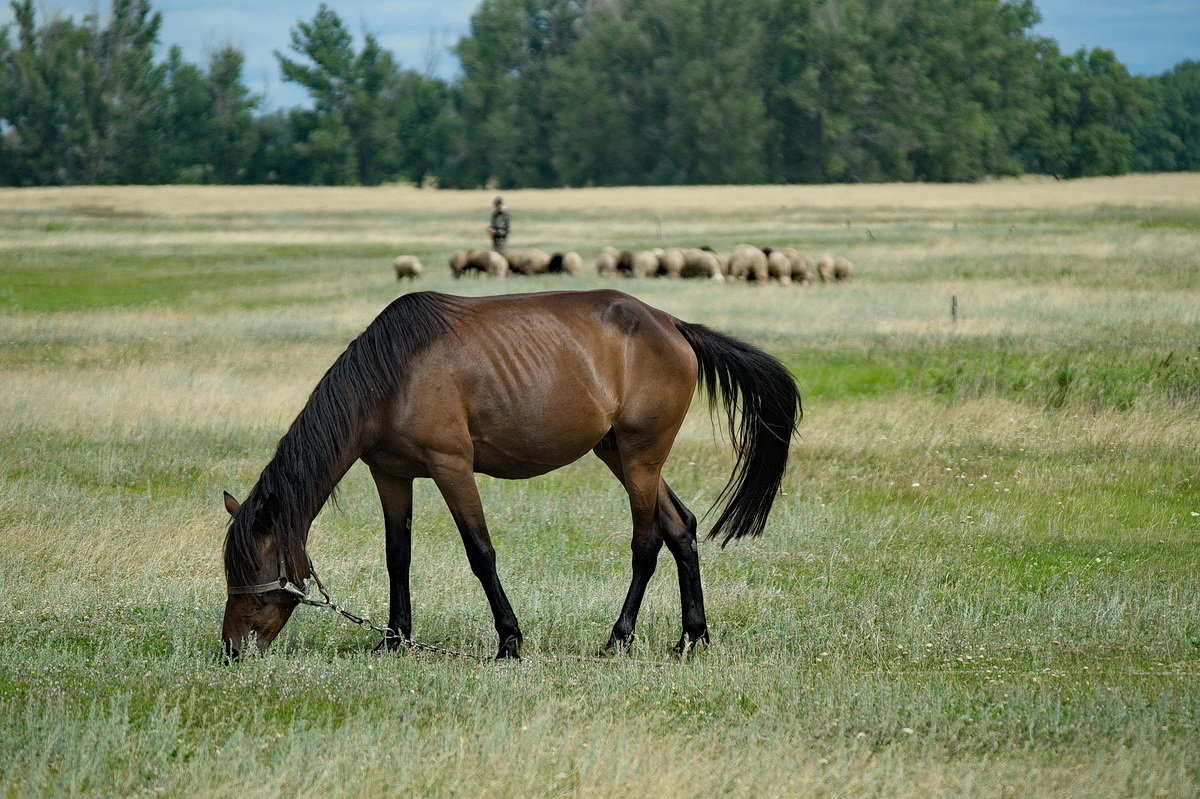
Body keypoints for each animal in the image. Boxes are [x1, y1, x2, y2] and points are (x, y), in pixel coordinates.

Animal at [223, 289, 806, 657]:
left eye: (254, 573)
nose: (232, 649)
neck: (392, 376)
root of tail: (675, 327)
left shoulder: (452, 468)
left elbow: (480, 554)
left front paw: (509, 640)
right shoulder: (391, 475)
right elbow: (397, 557)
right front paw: (394, 639)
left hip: (641, 456)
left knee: (647, 543)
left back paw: (619, 638)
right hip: (617, 453)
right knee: (680, 528)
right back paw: (692, 637)